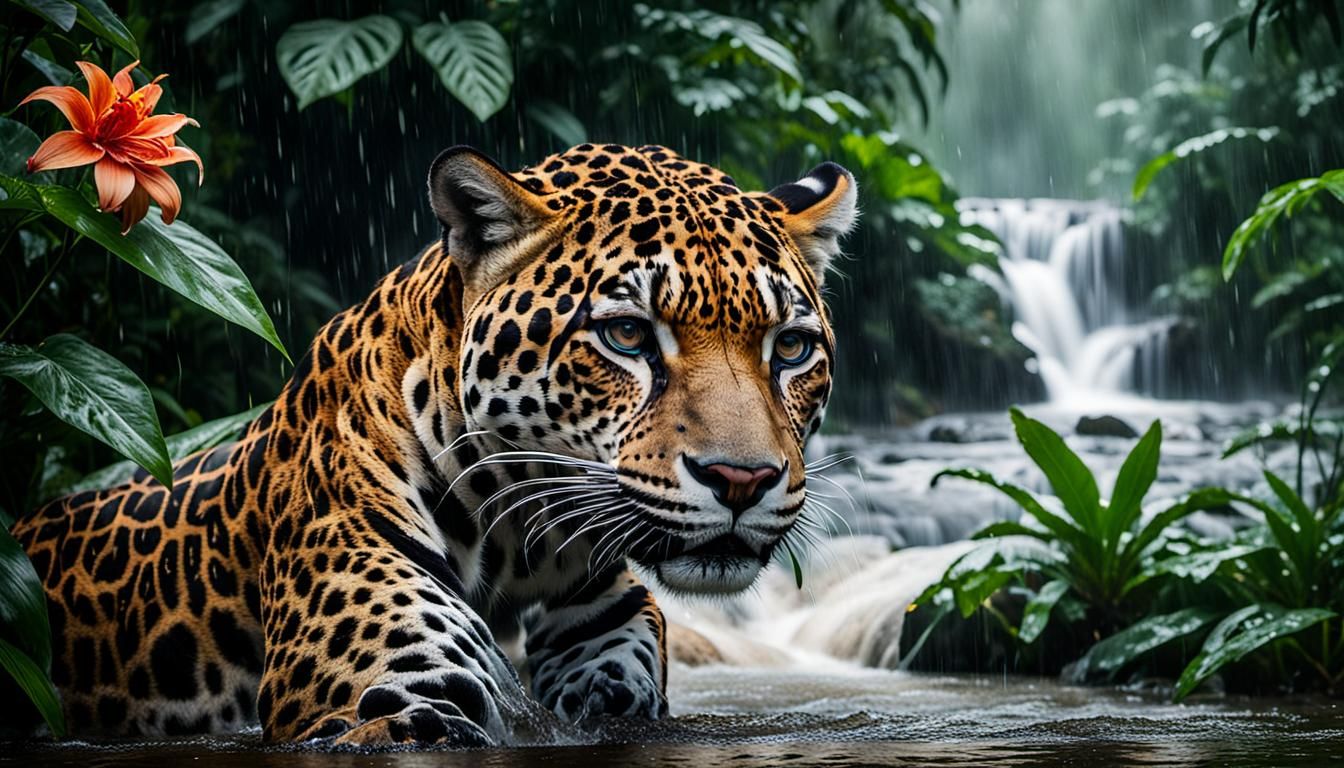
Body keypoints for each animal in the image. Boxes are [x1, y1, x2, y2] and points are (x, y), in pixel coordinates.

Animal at [10, 142, 858, 745]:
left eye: (789, 349)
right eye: (626, 336)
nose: (742, 480)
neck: (522, 544)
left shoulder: (611, 661)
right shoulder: (394, 705)